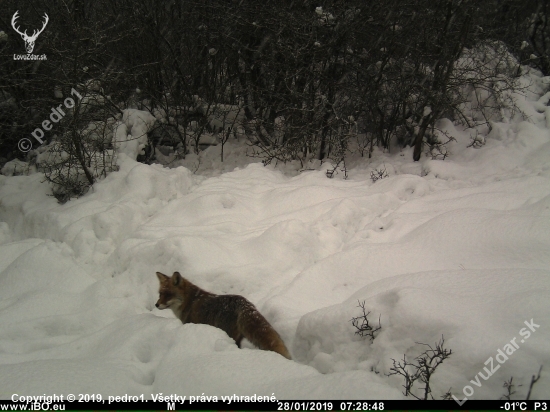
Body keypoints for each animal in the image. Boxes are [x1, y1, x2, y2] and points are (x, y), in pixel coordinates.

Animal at [155, 272, 294, 358]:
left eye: (168, 295)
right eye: (160, 294)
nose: (156, 305)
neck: (190, 301)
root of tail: (244, 302)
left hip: (228, 334)